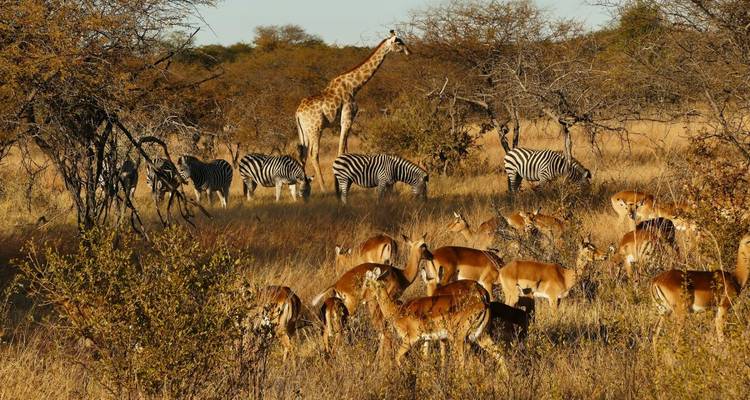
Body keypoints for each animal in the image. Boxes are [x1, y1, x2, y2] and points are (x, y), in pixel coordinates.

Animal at [295, 30, 410, 191]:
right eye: (398, 42)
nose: (408, 51)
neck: (354, 86)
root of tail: (298, 113)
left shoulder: (345, 121)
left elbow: (345, 150)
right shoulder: (347, 118)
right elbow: (341, 151)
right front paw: (341, 185)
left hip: (304, 131)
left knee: (303, 154)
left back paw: (302, 188)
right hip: (315, 128)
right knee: (313, 153)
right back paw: (324, 188)